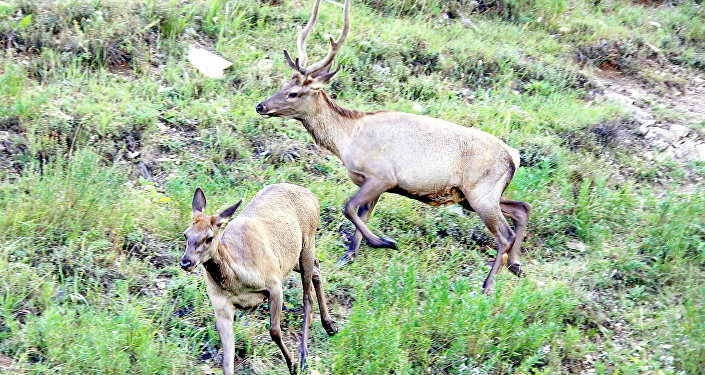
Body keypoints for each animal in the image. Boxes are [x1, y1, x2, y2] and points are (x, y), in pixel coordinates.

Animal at [180, 185, 336, 375]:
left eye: (209, 238)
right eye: (186, 234)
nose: (186, 262)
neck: (237, 282)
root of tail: (313, 196)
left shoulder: (274, 284)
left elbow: (274, 331)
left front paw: (292, 365)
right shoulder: (221, 307)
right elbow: (227, 361)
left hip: (308, 241)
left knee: (308, 296)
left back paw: (304, 356)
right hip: (292, 258)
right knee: (316, 266)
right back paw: (330, 326)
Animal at [256, 0, 532, 294]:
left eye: (293, 93)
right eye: (284, 84)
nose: (260, 106)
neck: (347, 140)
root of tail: (514, 157)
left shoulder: (383, 176)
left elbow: (348, 207)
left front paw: (384, 242)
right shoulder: (371, 182)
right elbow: (362, 213)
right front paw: (349, 255)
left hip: (481, 192)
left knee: (505, 234)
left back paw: (487, 285)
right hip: (472, 195)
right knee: (522, 208)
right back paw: (516, 265)